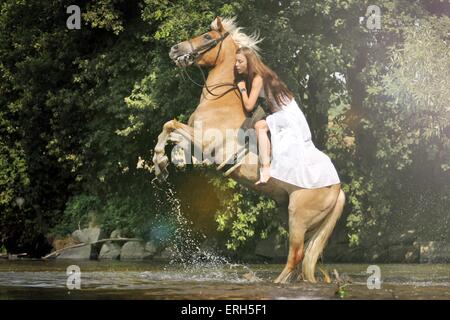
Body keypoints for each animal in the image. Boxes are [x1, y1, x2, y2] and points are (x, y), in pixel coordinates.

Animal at [151, 17, 344, 282]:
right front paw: (165, 163)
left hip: (299, 216)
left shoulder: (205, 143)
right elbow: (170, 131)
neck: (220, 101)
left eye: (208, 37)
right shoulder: (197, 143)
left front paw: (161, 161)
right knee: (302, 258)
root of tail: (338, 187)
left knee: (295, 256)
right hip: (291, 214)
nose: (175, 49)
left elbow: (170, 124)